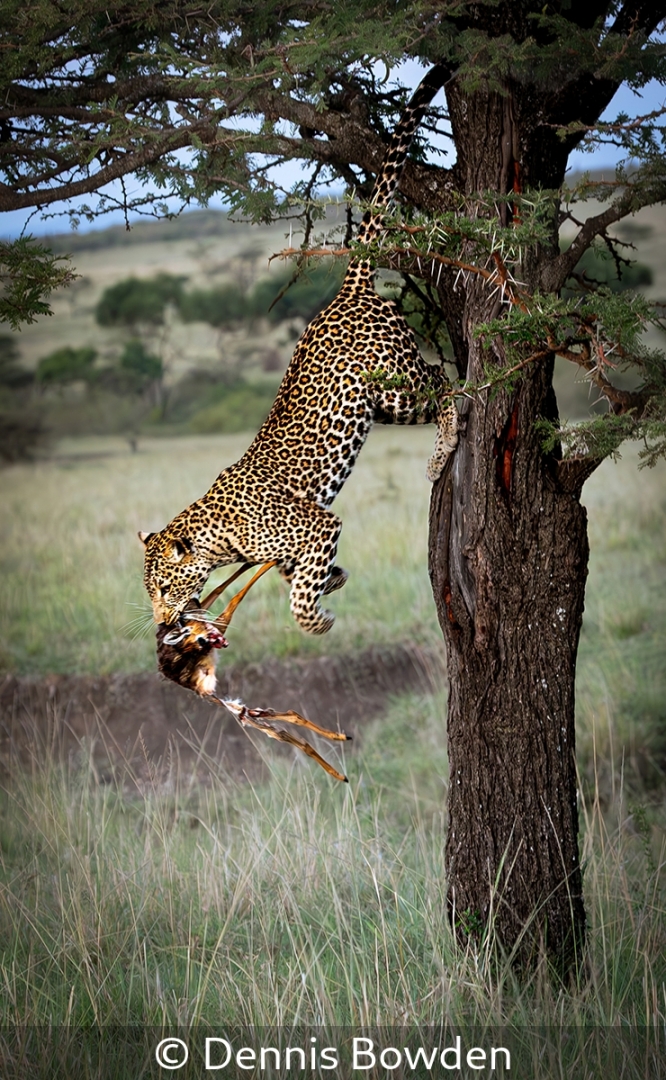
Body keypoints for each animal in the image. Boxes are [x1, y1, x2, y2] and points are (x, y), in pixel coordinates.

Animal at [140, 64, 458, 635]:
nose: (160, 622)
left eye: (164, 588)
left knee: (445, 382)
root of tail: (348, 288)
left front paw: (318, 618)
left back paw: (442, 453)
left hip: (398, 387)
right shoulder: (297, 548)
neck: (217, 535)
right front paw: (335, 578)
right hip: (377, 406)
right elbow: (299, 574)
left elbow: (299, 598)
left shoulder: (318, 522)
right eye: (149, 591)